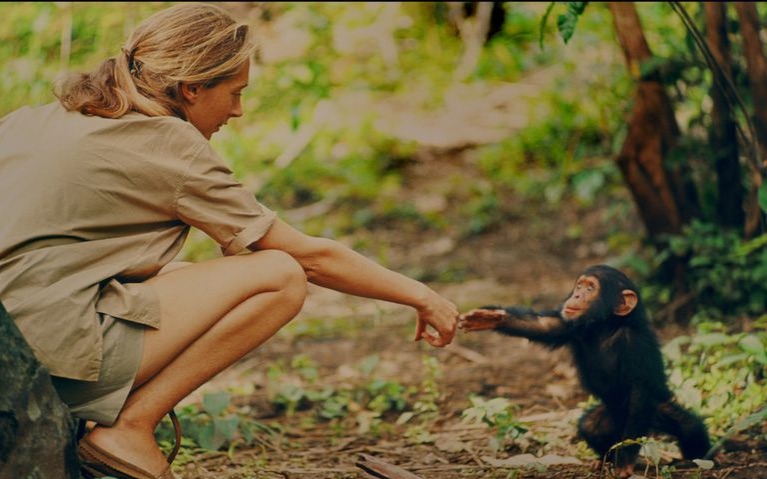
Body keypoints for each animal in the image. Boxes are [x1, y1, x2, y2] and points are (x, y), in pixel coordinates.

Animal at [460, 264, 712, 478]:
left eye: (591, 288)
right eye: (579, 286)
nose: (577, 295)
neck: (605, 327)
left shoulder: (635, 346)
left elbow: (639, 390)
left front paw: (626, 461)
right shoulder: (570, 325)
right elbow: (542, 326)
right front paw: (490, 317)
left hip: (653, 413)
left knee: (688, 427)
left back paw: (698, 458)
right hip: (610, 418)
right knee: (591, 427)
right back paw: (604, 459)